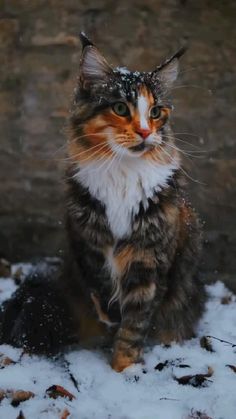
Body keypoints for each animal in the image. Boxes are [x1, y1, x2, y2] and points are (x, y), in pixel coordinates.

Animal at [0, 32, 205, 372]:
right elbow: (101, 288)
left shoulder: (150, 260)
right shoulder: (87, 243)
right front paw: (111, 322)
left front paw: (122, 370)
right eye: (120, 108)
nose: (145, 131)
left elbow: (134, 325)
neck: (122, 174)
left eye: (156, 112)